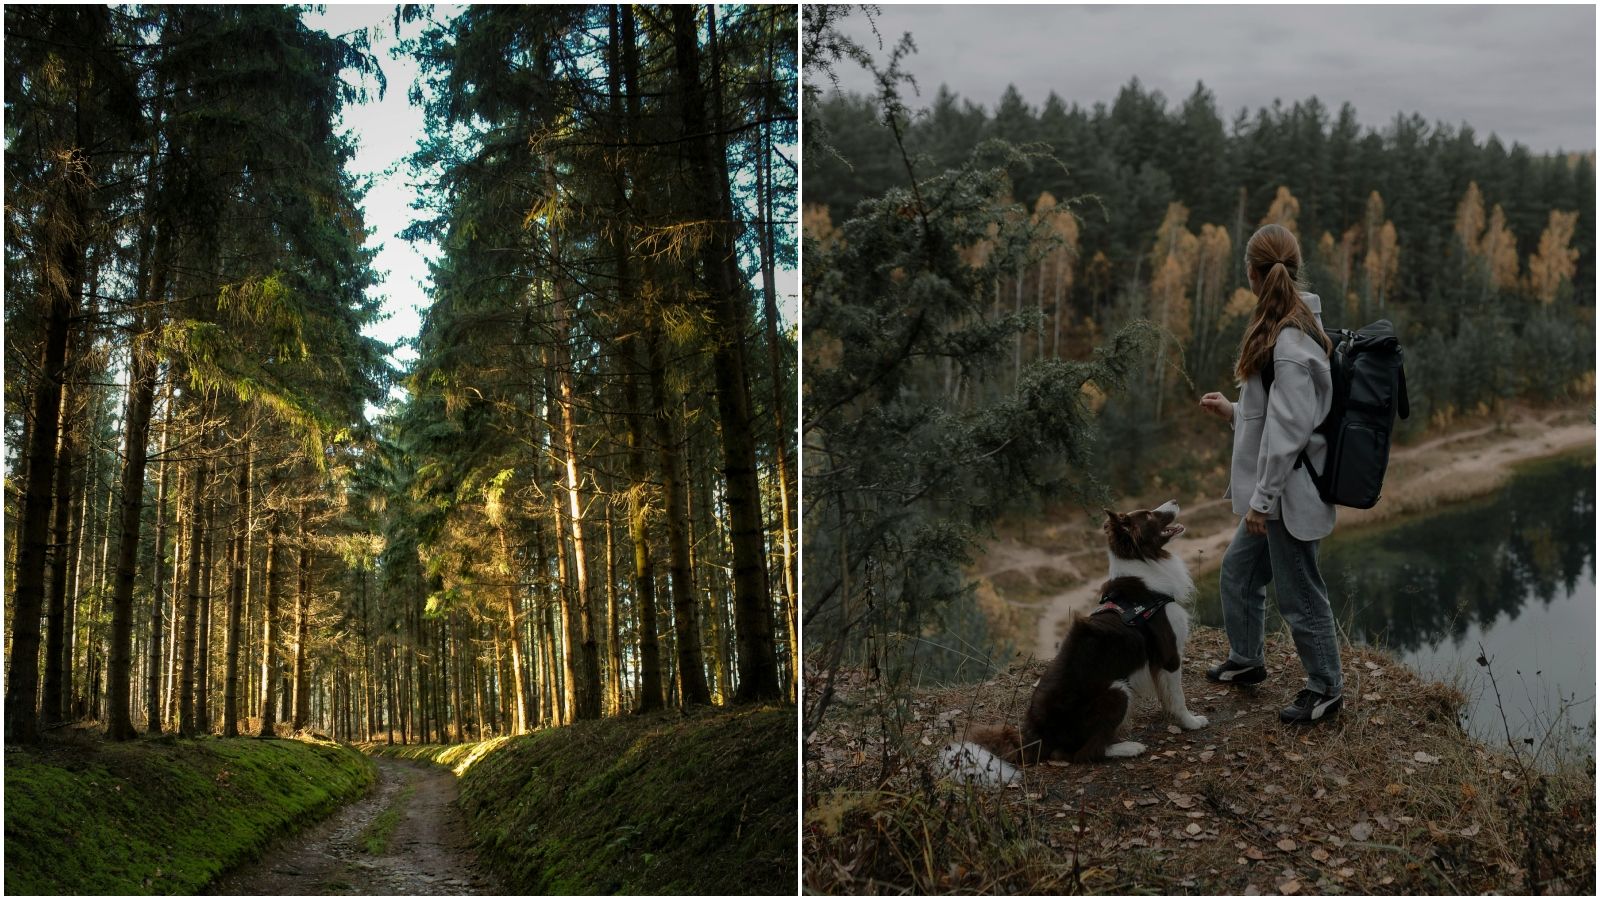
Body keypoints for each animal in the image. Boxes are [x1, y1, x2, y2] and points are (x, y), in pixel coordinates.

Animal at [940, 496, 1203, 778]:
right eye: (1149, 515)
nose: (1175, 500)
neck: (1145, 569)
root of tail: (1038, 738)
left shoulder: (1157, 662)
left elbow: (1167, 695)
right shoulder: (1169, 654)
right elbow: (1179, 696)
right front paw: (1191, 722)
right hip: (1117, 690)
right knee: (1084, 753)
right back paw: (1128, 747)